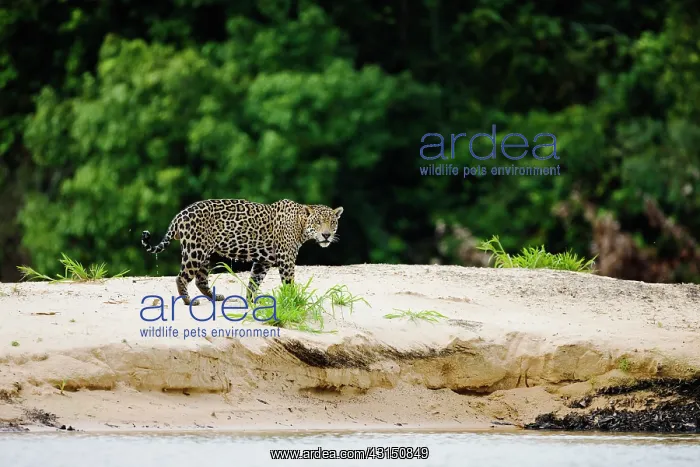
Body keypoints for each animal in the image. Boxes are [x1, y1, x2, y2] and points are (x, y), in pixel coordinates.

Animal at [140, 198, 343, 306]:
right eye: (318, 222)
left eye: (332, 222)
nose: (326, 235)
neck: (300, 225)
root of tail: (179, 216)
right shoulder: (286, 258)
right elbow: (288, 282)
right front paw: (293, 299)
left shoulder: (263, 261)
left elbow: (254, 282)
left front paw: (251, 302)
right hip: (195, 251)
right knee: (181, 277)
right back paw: (188, 301)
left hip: (205, 253)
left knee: (200, 280)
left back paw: (215, 297)